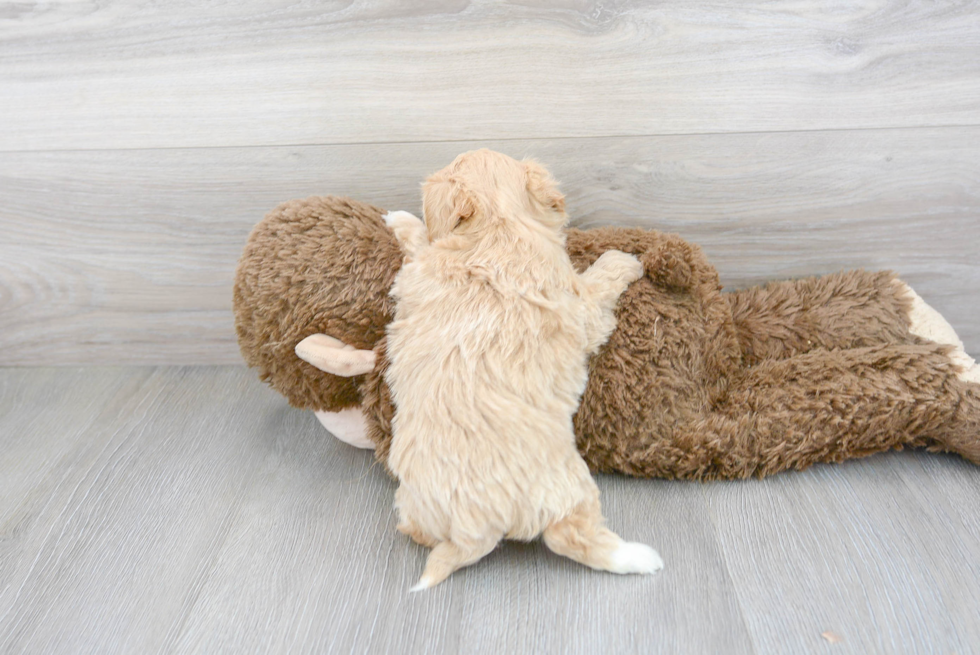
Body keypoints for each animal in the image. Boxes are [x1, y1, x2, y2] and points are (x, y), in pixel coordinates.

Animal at [378, 151, 664, 592]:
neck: (498, 225)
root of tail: (473, 529)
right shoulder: (581, 308)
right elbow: (598, 283)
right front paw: (622, 260)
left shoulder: (421, 269)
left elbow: (423, 242)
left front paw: (401, 219)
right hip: (568, 489)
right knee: (573, 537)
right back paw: (639, 558)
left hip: (414, 503)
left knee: (419, 532)